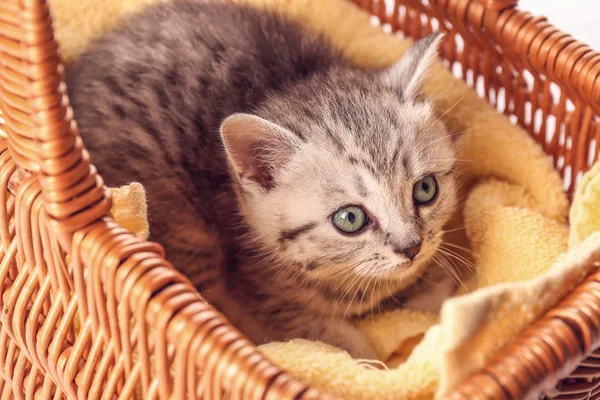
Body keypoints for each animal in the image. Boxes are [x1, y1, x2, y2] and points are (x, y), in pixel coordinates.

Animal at [65, 0, 458, 360]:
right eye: (350, 218)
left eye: (425, 189)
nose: (411, 247)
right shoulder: (259, 297)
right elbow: (326, 340)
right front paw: (371, 364)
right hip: (191, 233)